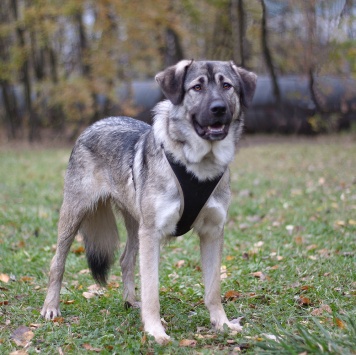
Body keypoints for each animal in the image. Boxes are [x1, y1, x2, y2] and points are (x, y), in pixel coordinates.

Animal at [41, 61, 258, 344]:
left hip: (135, 226)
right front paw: (155, 331)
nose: (218, 108)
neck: (198, 167)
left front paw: (221, 324)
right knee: (57, 263)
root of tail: (95, 123)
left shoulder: (212, 232)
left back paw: (131, 302)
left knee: (125, 260)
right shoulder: (153, 233)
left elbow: (213, 290)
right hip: (75, 217)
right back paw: (51, 307)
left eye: (226, 86)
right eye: (197, 87)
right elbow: (152, 291)